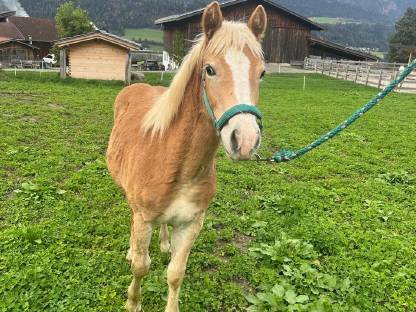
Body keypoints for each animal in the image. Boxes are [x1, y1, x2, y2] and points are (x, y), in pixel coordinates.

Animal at [107, 1, 268, 310]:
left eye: (262, 73)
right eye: (210, 69)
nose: (245, 140)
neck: (175, 162)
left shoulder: (192, 223)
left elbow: (175, 273)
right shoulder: (143, 219)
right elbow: (141, 267)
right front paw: (133, 302)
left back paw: (163, 243)